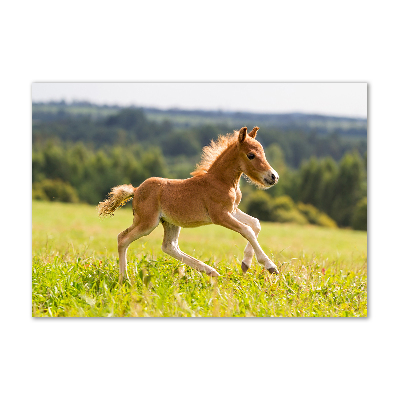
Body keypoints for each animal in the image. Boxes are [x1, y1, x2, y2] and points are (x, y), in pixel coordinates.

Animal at [98, 126, 280, 282]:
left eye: (263, 153)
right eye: (251, 155)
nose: (273, 177)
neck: (221, 181)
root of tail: (135, 190)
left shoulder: (232, 210)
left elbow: (255, 224)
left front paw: (245, 263)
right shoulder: (219, 215)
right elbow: (247, 230)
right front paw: (270, 266)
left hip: (169, 222)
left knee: (169, 246)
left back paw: (211, 271)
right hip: (147, 222)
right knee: (123, 238)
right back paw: (124, 279)